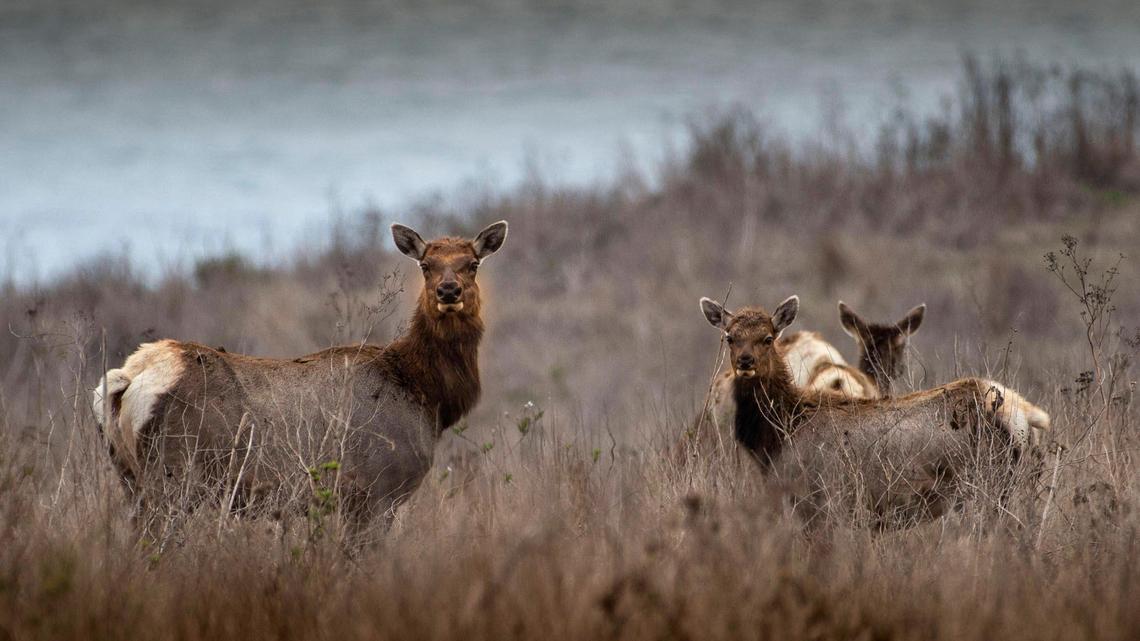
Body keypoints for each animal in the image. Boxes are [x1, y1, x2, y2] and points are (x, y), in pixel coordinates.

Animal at [92, 220, 508, 540]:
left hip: (128, 477)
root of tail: (128, 377)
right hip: (172, 477)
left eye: (472, 264)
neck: (427, 394)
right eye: (425, 264)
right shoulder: (377, 492)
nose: (448, 291)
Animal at [698, 294, 1049, 529]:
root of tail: (1024, 412)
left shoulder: (822, 501)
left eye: (768, 337)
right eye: (729, 337)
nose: (745, 361)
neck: (779, 433)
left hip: (985, 486)